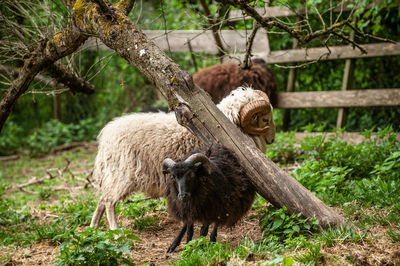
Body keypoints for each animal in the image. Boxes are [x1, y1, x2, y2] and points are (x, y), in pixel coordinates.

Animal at [89, 86, 274, 230]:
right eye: (265, 119)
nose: (272, 139)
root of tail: (106, 136)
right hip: (122, 174)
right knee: (109, 201)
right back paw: (115, 230)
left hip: (114, 174)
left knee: (102, 199)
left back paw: (93, 228)